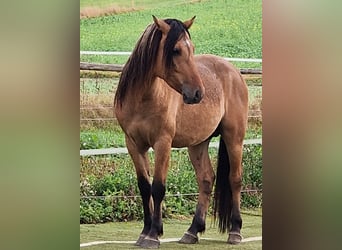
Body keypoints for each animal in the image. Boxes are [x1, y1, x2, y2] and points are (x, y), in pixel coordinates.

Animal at [115, 16, 248, 248]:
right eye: (176, 50)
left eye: (192, 48)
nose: (197, 93)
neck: (144, 99)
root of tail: (234, 71)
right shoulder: (133, 144)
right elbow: (144, 187)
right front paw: (145, 232)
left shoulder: (163, 143)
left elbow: (158, 187)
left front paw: (153, 235)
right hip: (197, 144)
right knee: (206, 179)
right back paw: (192, 231)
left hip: (234, 138)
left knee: (235, 180)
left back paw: (235, 231)